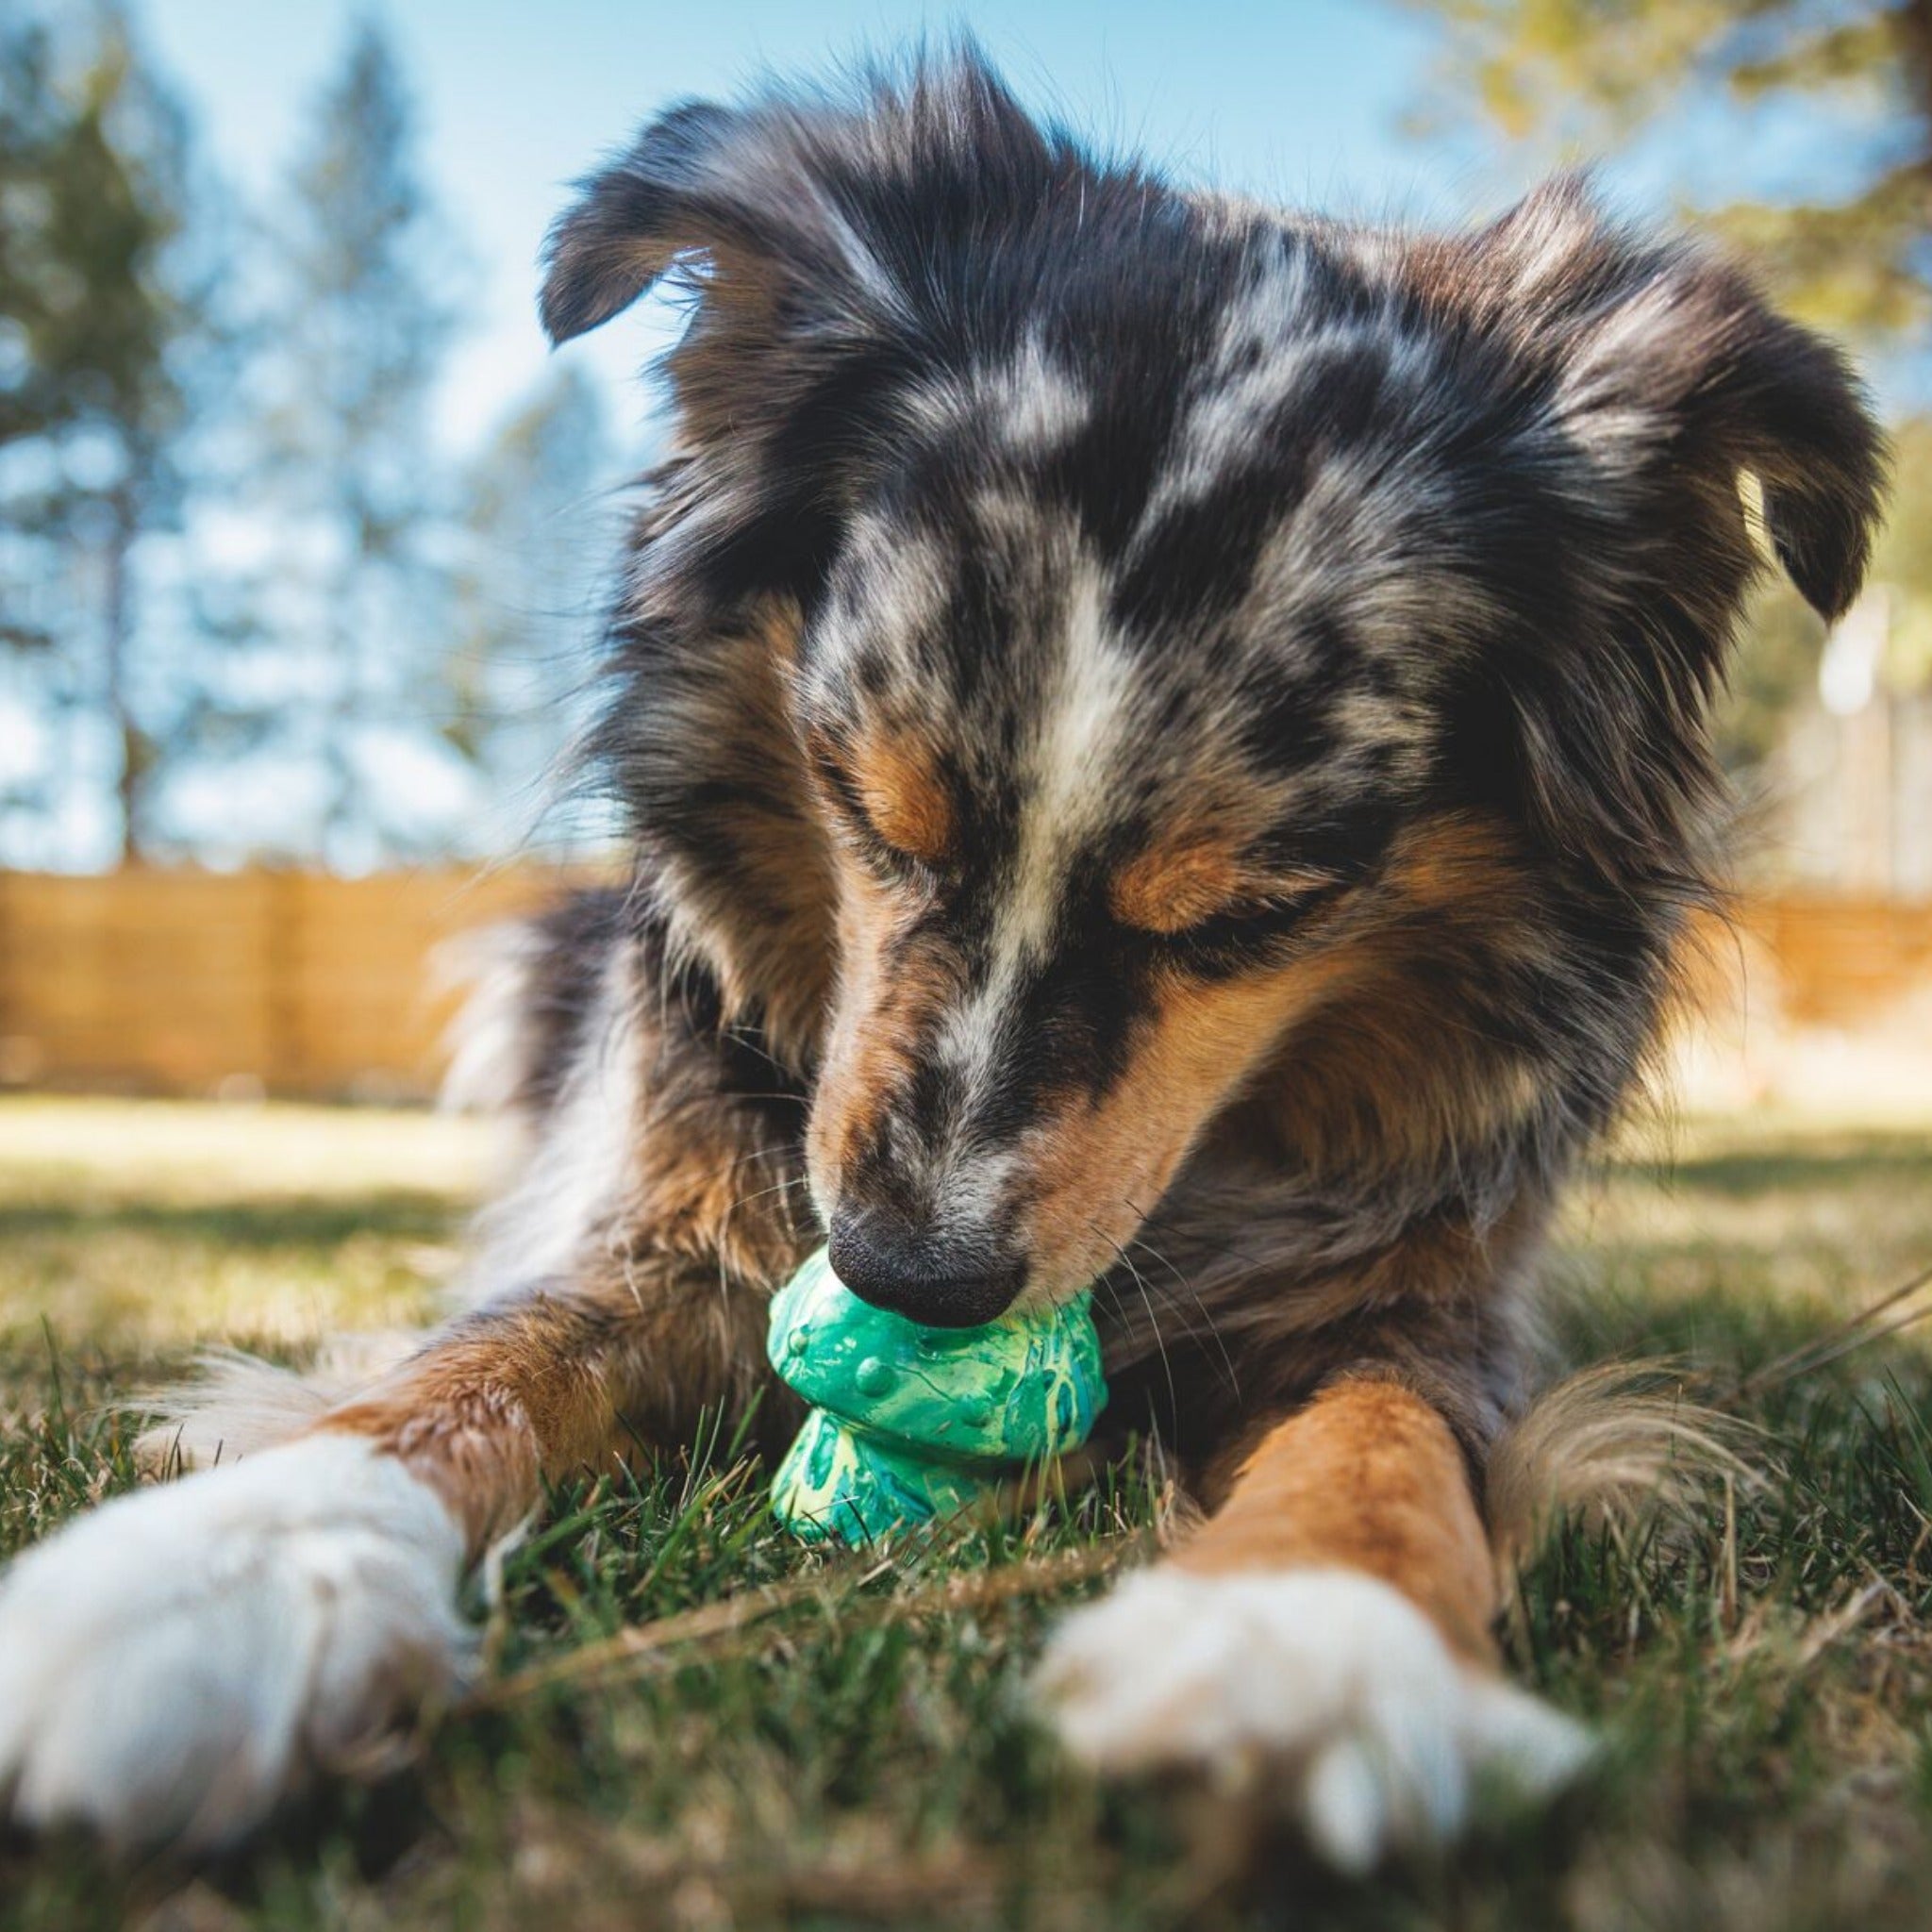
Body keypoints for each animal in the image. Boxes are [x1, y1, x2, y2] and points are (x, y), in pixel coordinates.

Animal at [0, 48, 1877, 1870]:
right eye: (866, 805)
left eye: (1253, 914)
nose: (906, 1274)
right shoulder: (676, 1218)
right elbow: (483, 1359)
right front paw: (223, 1566)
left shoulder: (1419, 1294)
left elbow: (1381, 1431)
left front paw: (1306, 1635)